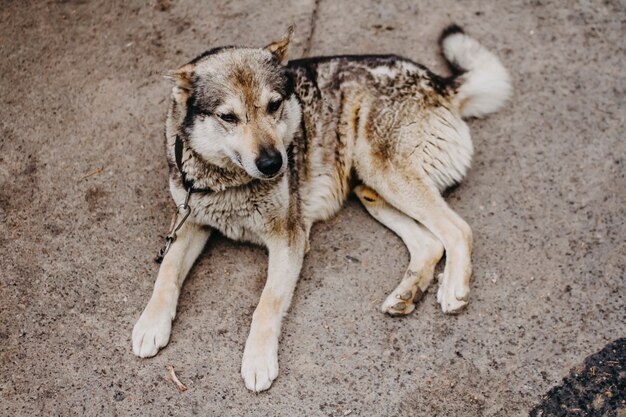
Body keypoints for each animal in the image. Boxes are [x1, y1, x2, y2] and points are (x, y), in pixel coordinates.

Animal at [129, 25, 510, 390]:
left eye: (274, 105)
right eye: (228, 117)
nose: (273, 163)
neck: (228, 182)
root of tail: (436, 81)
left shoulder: (289, 239)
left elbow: (266, 304)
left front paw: (258, 361)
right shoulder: (188, 221)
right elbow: (166, 274)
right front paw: (150, 324)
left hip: (383, 171)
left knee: (458, 229)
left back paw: (453, 288)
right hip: (369, 189)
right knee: (430, 243)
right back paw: (407, 292)